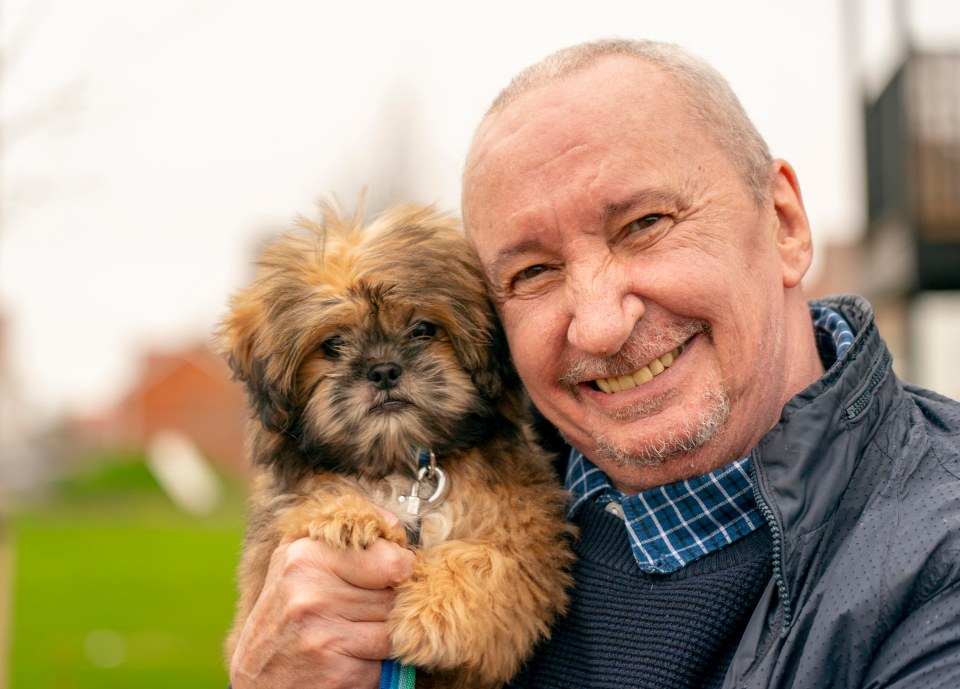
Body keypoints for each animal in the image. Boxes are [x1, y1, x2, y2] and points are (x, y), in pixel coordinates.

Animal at [218, 200, 572, 688]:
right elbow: (307, 510)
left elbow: (488, 559)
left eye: (423, 329)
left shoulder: (527, 539)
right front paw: (347, 515)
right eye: (332, 344)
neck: (399, 465)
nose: (384, 370)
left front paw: (431, 614)